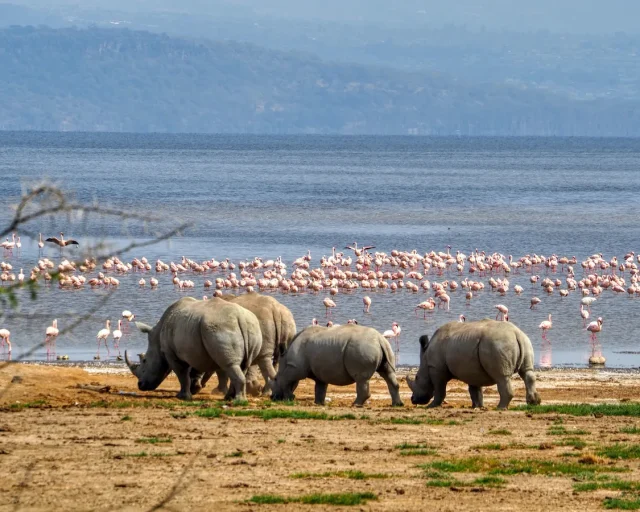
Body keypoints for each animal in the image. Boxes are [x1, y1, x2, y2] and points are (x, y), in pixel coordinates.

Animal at [125, 297, 262, 401]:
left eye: (144, 361)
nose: (140, 385)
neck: (157, 338)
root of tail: (241, 318)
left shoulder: (171, 353)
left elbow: (182, 374)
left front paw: (183, 396)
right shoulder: (195, 350)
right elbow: (194, 371)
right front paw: (194, 390)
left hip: (221, 327)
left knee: (230, 365)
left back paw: (238, 401)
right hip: (252, 327)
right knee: (242, 365)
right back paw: (229, 398)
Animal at [271, 324, 403, 407]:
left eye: (275, 379)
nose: (273, 397)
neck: (285, 359)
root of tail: (379, 339)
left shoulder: (296, 367)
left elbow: (286, 379)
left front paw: (289, 398)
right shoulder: (320, 372)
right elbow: (320, 387)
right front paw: (319, 403)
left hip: (362, 348)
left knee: (361, 378)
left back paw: (356, 404)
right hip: (384, 347)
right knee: (388, 374)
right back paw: (397, 404)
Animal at [406, 319, 541, 409]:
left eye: (417, 378)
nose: (413, 399)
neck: (426, 359)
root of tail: (515, 333)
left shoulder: (436, 369)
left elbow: (439, 389)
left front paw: (431, 406)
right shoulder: (471, 370)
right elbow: (474, 389)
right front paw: (477, 406)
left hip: (497, 344)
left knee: (502, 377)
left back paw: (500, 407)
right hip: (524, 341)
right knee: (527, 372)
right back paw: (534, 402)